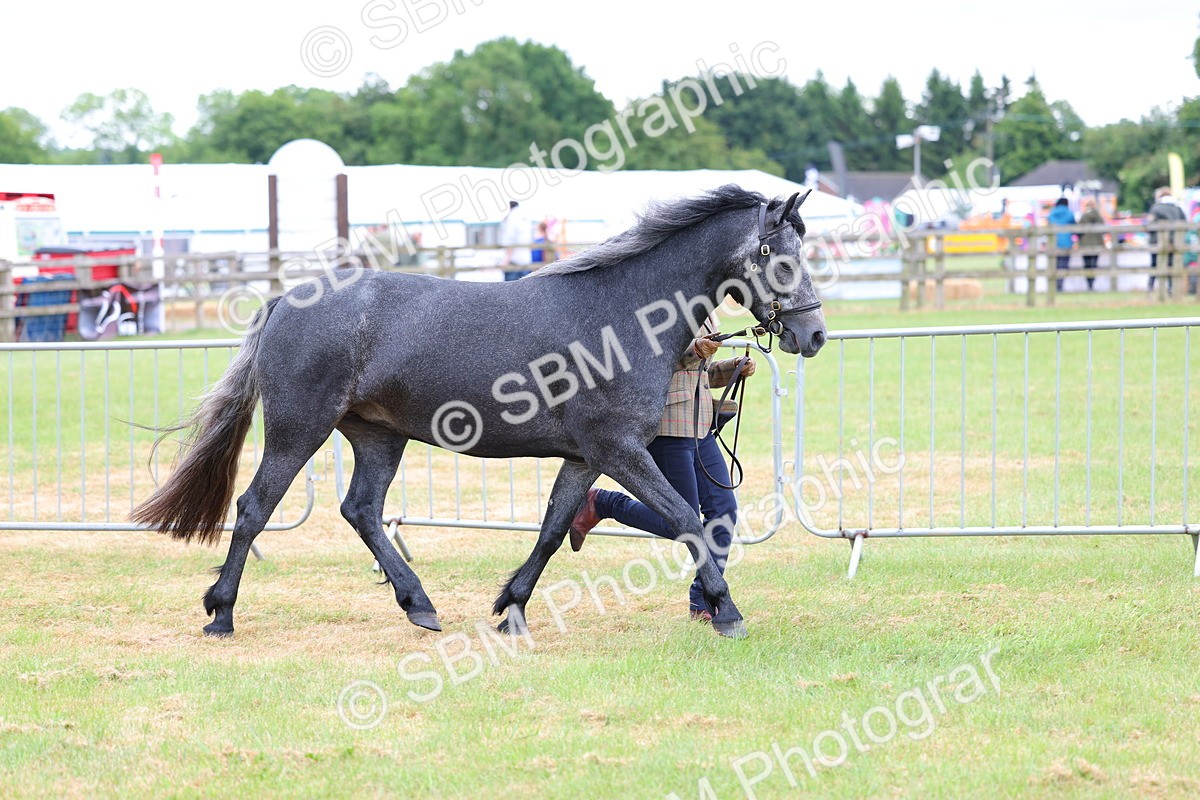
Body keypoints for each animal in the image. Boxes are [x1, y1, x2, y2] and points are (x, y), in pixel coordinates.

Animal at [131, 184, 827, 639]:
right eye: (784, 257)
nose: (814, 335)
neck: (622, 313)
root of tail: (285, 300)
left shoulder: (586, 457)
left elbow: (552, 529)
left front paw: (511, 608)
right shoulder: (621, 452)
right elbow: (688, 519)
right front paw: (728, 612)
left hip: (378, 437)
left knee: (361, 510)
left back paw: (419, 605)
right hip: (298, 431)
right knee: (254, 509)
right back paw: (221, 612)